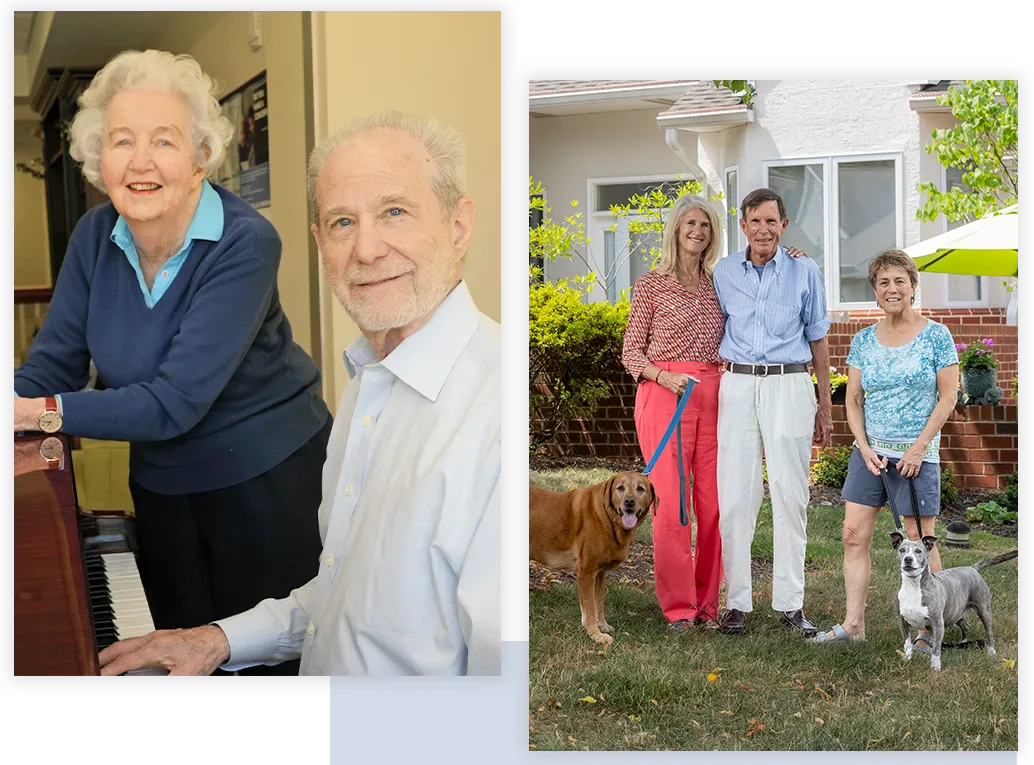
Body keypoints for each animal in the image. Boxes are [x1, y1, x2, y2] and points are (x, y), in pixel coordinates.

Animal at [529, 475, 657, 640]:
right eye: (620, 488)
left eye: (640, 489)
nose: (629, 501)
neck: (607, 517)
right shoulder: (586, 572)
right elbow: (590, 607)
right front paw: (596, 635)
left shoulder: (600, 574)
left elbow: (599, 603)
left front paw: (602, 625)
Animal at [889, 533, 1017, 669]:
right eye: (902, 550)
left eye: (918, 551)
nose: (908, 559)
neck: (913, 586)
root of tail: (972, 568)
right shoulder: (903, 621)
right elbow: (907, 644)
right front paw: (907, 659)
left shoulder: (937, 623)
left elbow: (936, 648)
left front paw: (935, 667)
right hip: (956, 612)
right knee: (965, 626)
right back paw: (963, 642)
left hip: (983, 610)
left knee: (989, 632)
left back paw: (991, 652)